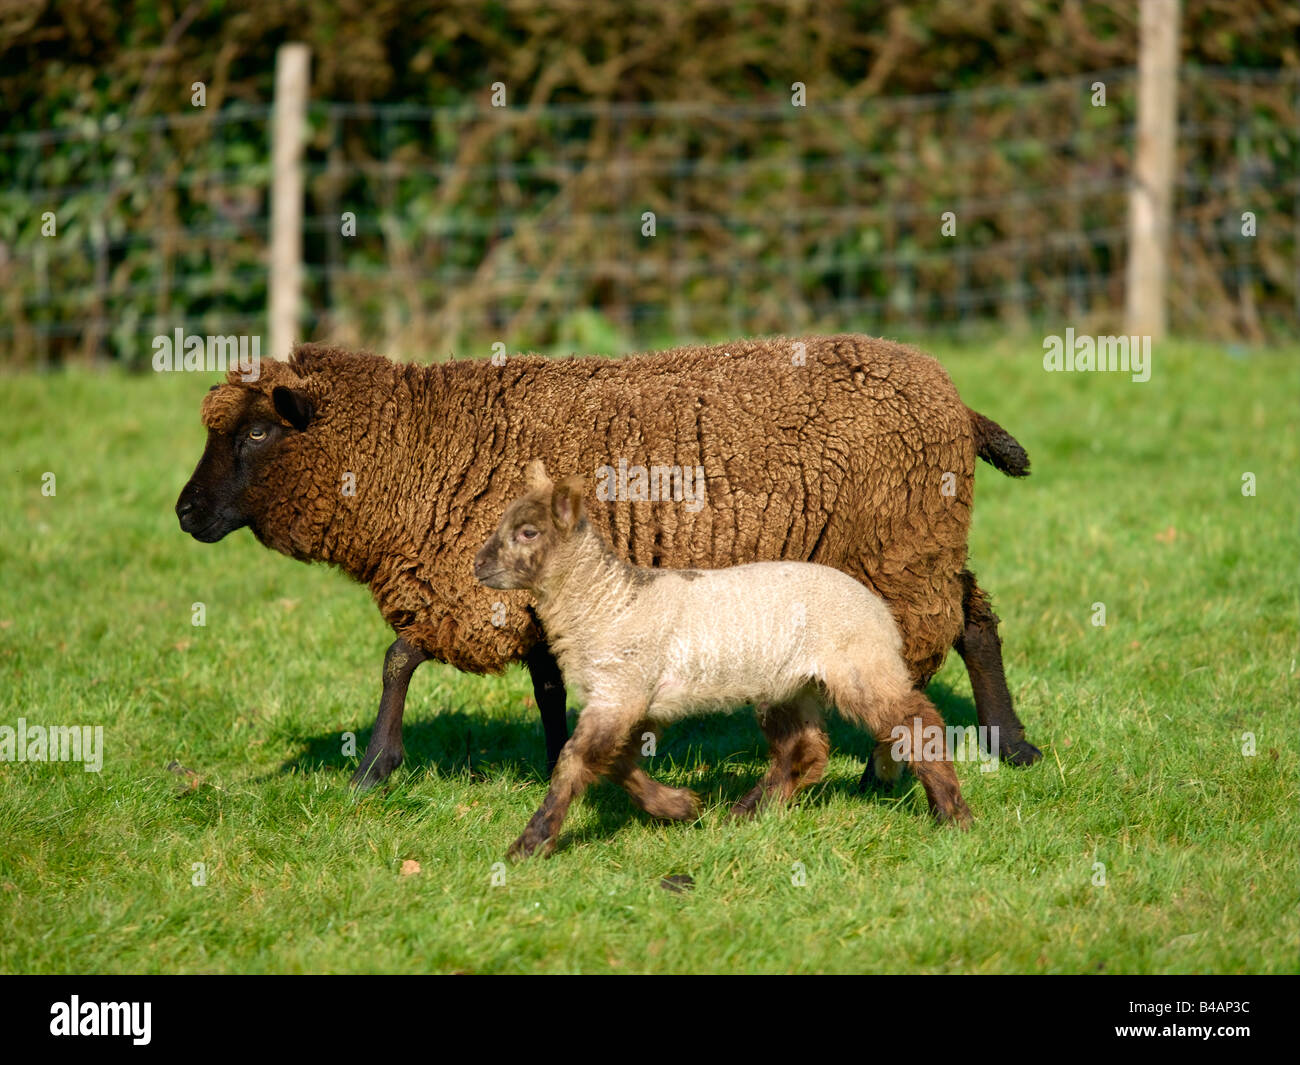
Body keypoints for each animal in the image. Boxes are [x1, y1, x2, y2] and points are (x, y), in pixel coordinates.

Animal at [178, 335, 1040, 790]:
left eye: (259, 432)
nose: (185, 513)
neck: (416, 452)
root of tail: (956, 403)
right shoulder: (532, 594)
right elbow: (548, 685)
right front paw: (555, 757)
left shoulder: (468, 587)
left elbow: (398, 656)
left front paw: (373, 769)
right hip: (922, 544)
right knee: (975, 622)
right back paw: (1013, 743)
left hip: (899, 548)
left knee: (923, 646)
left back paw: (883, 773)